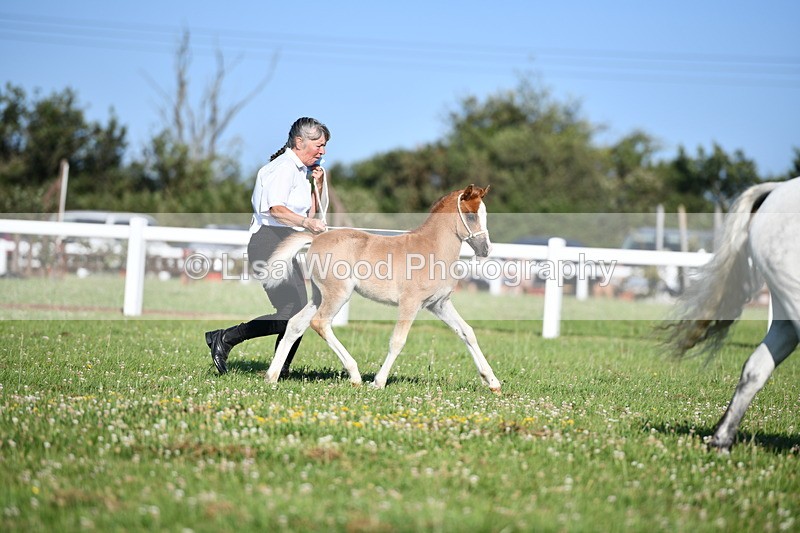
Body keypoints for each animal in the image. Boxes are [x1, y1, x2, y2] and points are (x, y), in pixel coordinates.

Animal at [257, 184, 502, 392]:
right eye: (471, 215)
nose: (485, 249)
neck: (432, 249)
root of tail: (317, 239)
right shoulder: (410, 304)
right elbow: (397, 341)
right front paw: (378, 382)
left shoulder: (438, 304)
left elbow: (467, 332)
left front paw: (493, 382)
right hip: (338, 294)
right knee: (320, 323)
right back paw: (355, 375)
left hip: (319, 296)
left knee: (295, 324)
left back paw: (272, 376)